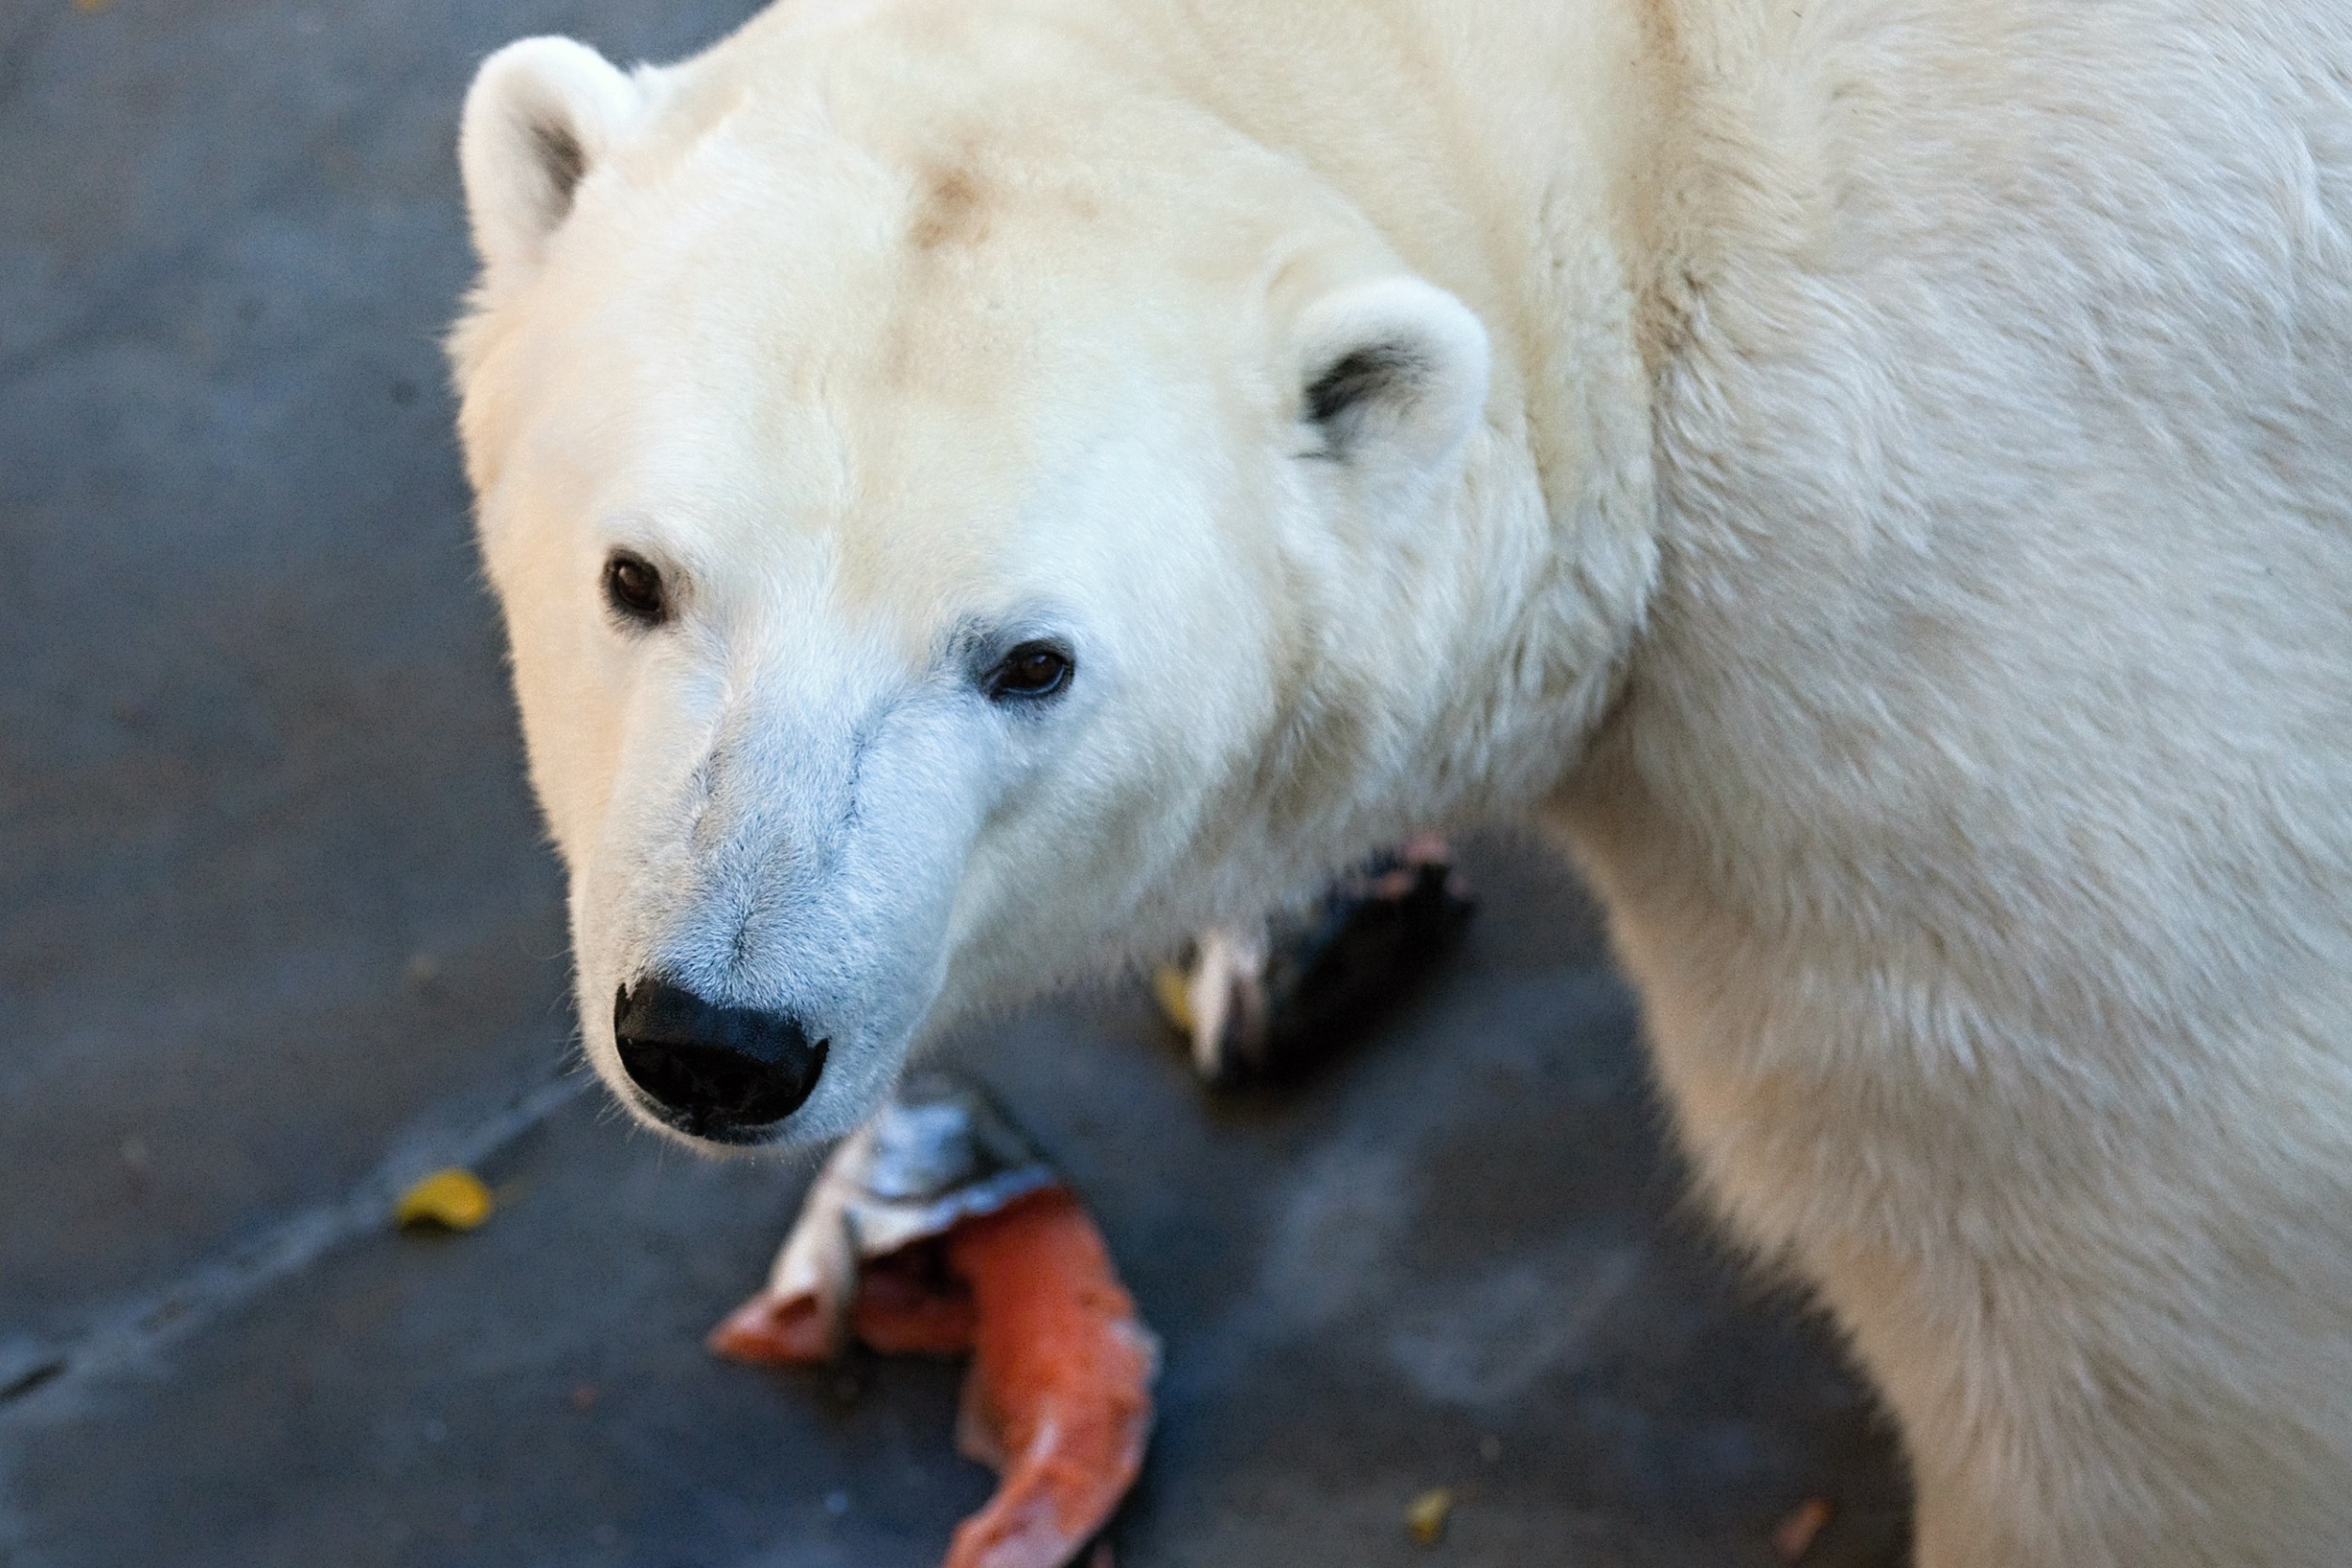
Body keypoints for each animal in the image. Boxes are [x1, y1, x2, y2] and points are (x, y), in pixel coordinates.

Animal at [453, 6, 2352, 1560]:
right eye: (636, 576)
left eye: (1028, 662)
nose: (717, 1036)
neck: (1620, 124)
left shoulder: (1985, 638)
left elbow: (2135, 1330)